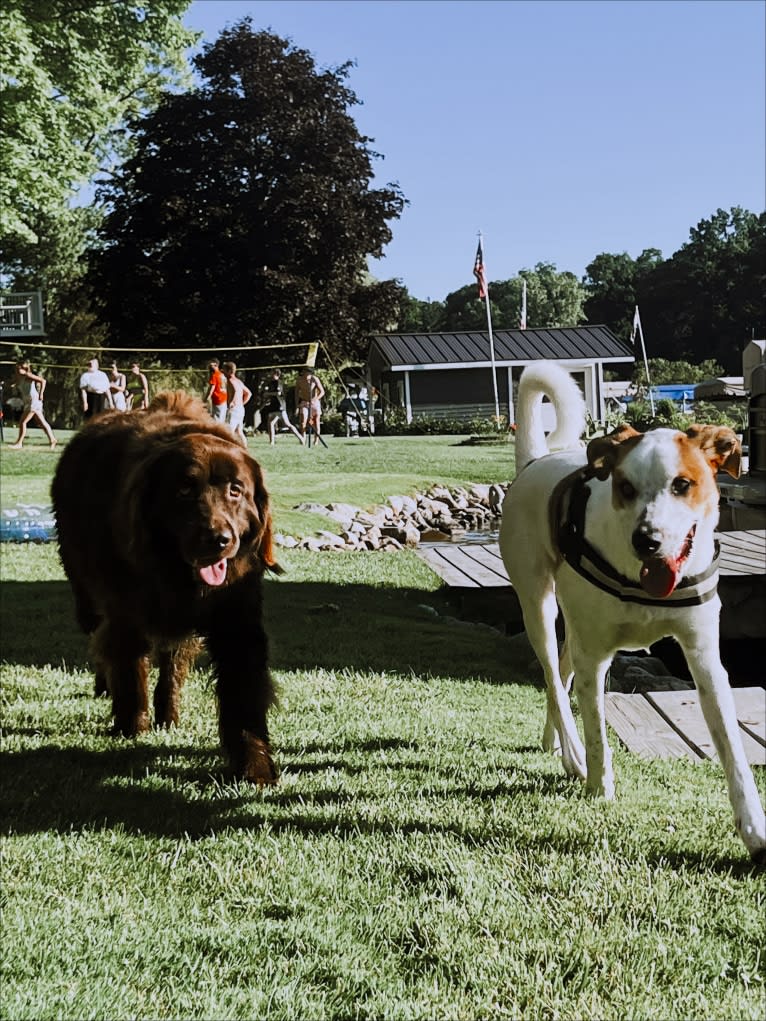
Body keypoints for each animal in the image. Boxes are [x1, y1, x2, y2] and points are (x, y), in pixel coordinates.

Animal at [52, 390, 283, 780]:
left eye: (236, 490)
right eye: (185, 490)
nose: (219, 540)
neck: (176, 574)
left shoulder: (237, 617)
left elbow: (243, 693)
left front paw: (254, 767)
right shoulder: (125, 609)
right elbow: (129, 667)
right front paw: (131, 727)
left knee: (172, 660)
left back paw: (168, 713)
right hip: (85, 592)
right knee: (101, 640)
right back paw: (108, 689)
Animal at [500, 363, 763, 857]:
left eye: (683, 484)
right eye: (625, 487)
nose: (648, 540)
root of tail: (536, 461)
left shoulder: (704, 657)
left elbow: (732, 748)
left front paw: (754, 826)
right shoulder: (597, 656)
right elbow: (598, 732)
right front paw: (598, 784)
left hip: (574, 626)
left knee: (562, 672)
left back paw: (553, 741)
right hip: (538, 604)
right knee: (554, 678)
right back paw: (572, 753)